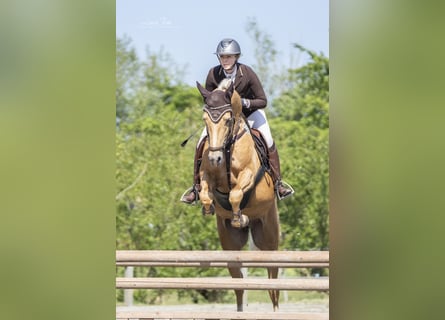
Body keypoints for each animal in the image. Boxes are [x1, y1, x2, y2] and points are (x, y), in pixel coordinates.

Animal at [196, 79, 280, 312]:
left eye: (227, 121)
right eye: (205, 120)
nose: (214, 159)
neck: (225, 147)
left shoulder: (249, 174)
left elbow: (235, 193)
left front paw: (238, 217)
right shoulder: (206, 175)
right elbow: (205, 191)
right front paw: (209, 207)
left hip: (269, 237)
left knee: (273, 281)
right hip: (230, 244)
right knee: (239, 284)